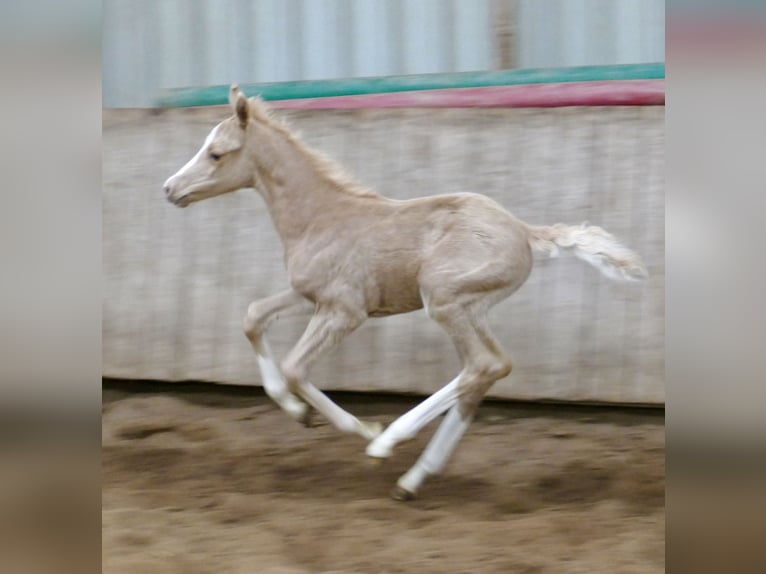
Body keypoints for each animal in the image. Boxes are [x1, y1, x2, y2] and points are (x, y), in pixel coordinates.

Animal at [164, 83, 648, 502]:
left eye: (216, 153)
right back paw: (412, 479)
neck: (320, 217)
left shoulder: (345, 311)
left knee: (482, 366)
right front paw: (296, 412)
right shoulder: (309, 297)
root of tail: (525, 232)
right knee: (491, 368)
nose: (170, 188)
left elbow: (295, 367)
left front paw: (361, 429)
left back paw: (389, 443)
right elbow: (252, 317)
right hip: (473, 307)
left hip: (444, 298)